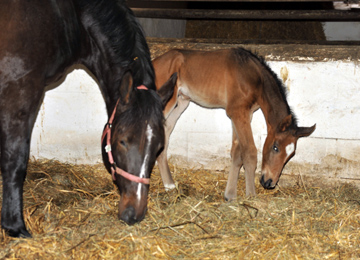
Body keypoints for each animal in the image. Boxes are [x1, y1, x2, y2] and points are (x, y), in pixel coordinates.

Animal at [0, 0, 175, 237]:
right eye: (123, 141)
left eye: (158, 148)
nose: (134, 213)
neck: (70, 15)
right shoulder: (20, 91)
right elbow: (15, 161)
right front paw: (14, 225)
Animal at [153, 47, 316, 200]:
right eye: (275, 147)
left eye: (291, 154)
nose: (269, 182)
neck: (254, 77)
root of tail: (155, 62)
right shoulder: (237, 112)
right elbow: (249, 151)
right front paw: (251, 195)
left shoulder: (244, 114)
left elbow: (237, 152)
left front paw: (230, 195)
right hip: (168, 100)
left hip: (182, 101)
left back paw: (169, 185)